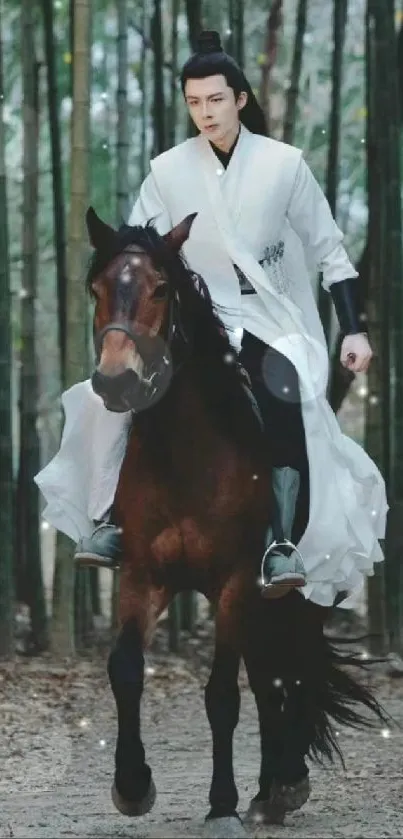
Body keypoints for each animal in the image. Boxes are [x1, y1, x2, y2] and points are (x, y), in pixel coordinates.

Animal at [86, 208, 388, 832]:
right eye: (97, 289)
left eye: (161, 288)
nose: (116, 381)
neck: (184, 454)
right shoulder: (143, 574)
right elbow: (125, 668)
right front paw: (132, 785)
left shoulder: (233, 579)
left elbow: (222, 692)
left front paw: (221, 805)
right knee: (268, 675)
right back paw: (270, 790)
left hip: (294, 595)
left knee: (291, 670)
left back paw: (285, 782)